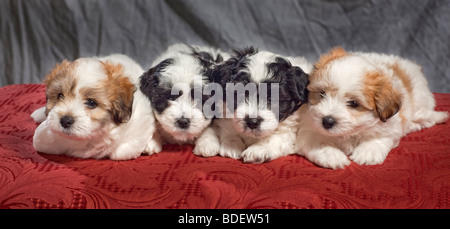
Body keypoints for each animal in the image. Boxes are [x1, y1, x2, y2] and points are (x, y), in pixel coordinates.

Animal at [30, 54, 160, 160]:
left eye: (91, 103)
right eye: (60, 96)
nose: (65, 120)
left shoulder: (142, 118)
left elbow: (121, 152)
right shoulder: (44, 136)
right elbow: (41, 141)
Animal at [298, 47, 448, 168]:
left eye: (353, 103)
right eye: (322, 94)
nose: (327, 121)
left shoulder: (390, 126)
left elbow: (379, 138)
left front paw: (367, 152)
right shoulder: (308, 125)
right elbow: (316, 141)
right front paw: (331, 155)